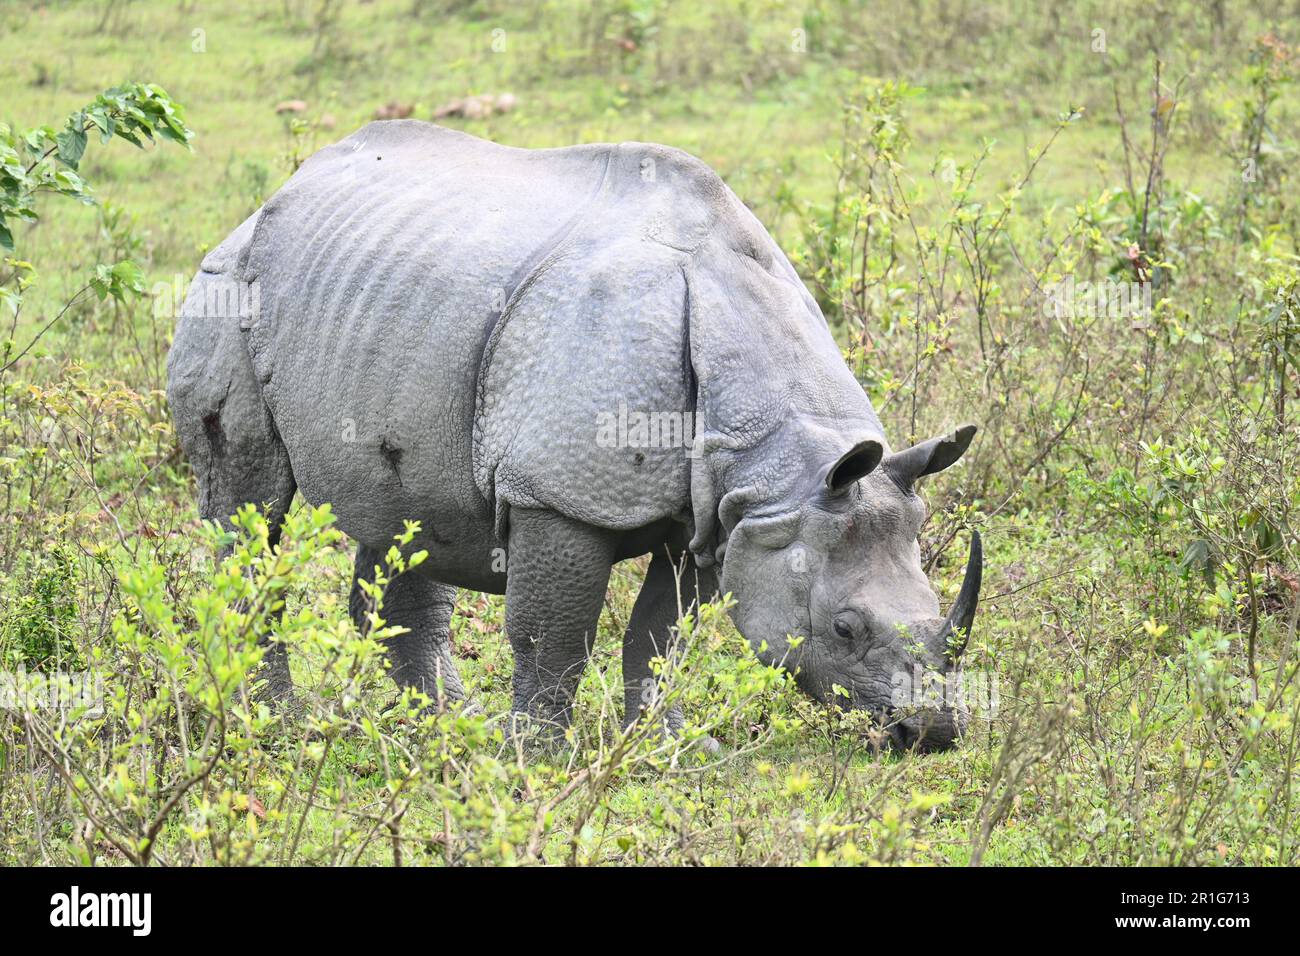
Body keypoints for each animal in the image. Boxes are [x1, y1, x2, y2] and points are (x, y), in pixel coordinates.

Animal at [167, 120, 981, 752]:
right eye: (844, 629)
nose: (931, 733)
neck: (780, 456)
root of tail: (268, 202)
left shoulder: (724, 509)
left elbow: (659, 637)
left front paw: (667, 748)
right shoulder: (561, 494)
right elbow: (552, 635)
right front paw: (539, 760)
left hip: (393, 310)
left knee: (409, 507)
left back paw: (447, 727)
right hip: (226, 290)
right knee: (249, 509)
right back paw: (276, 722)